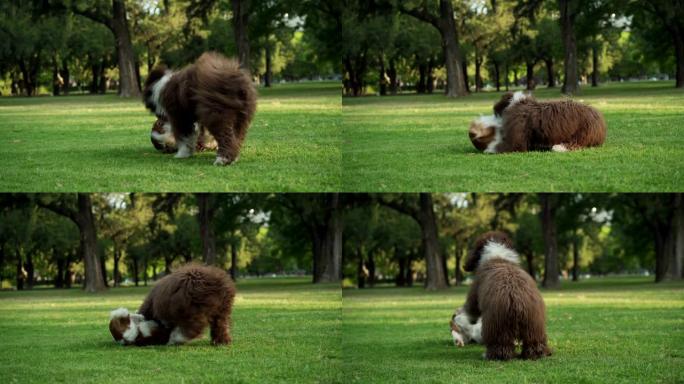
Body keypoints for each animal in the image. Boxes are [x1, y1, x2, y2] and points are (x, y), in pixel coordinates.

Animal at [460, 231, 552, 360]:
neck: (498, 256)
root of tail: (518, 302)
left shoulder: (475, 291)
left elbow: (472, 307)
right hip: (534, 326)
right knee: (534, 343)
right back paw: (537, 354)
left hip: (496, 325)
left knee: (501, 347)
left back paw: (491, 355)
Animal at [468, 91, 608, 153]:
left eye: (496, 112)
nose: (472, 129)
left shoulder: (516, 139)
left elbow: (500, 146)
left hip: (583, 133)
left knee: (576, 144)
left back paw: (559, 147)